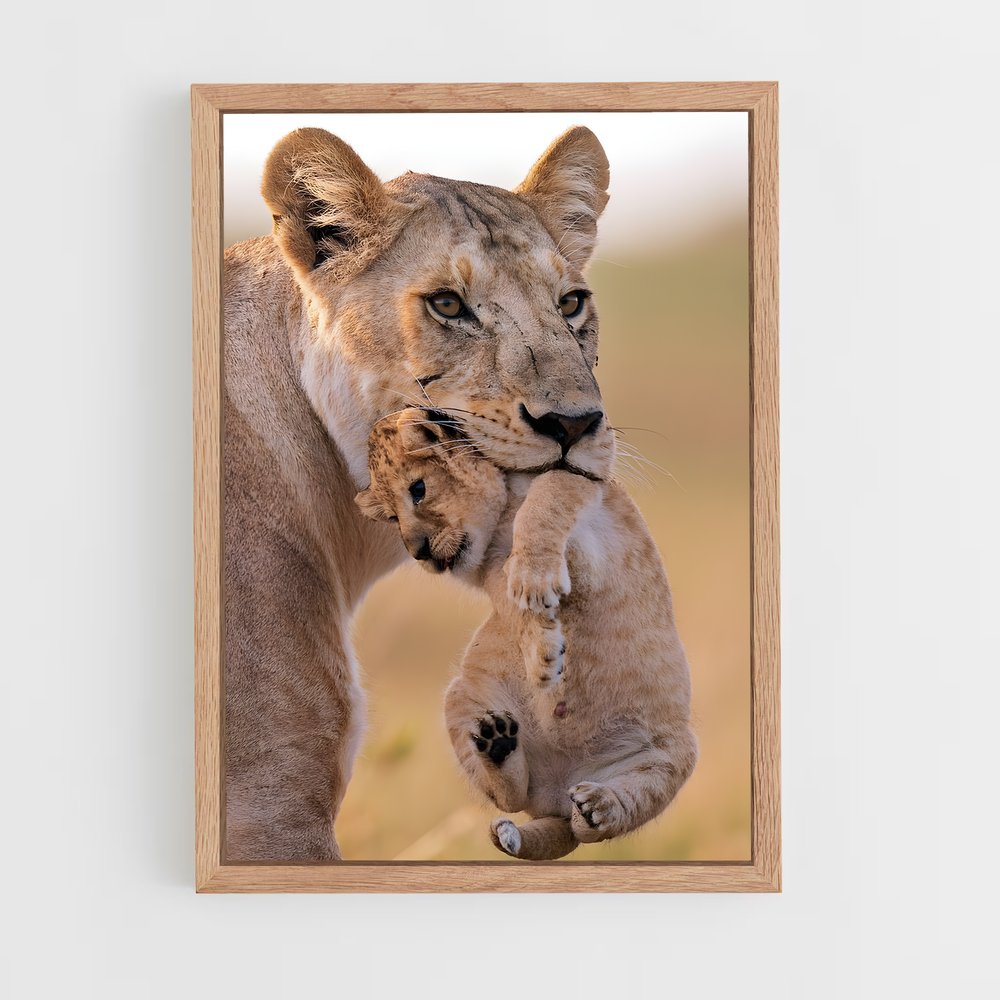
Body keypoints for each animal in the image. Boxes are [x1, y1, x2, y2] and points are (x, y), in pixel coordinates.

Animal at [355, 408, 697, 860]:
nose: (418, 552)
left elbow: (547, 497)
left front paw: (535, 584)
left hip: (673, 756)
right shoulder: (494, 579)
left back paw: (598, 807)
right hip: (459, 698)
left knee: (603, 820)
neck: (498, 527)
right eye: (392, 518)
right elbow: (515, 608)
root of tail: (556, 797)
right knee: (513, 798)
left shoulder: (585, 499)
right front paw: (544, 654)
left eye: (418, 490)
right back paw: (498, 745)